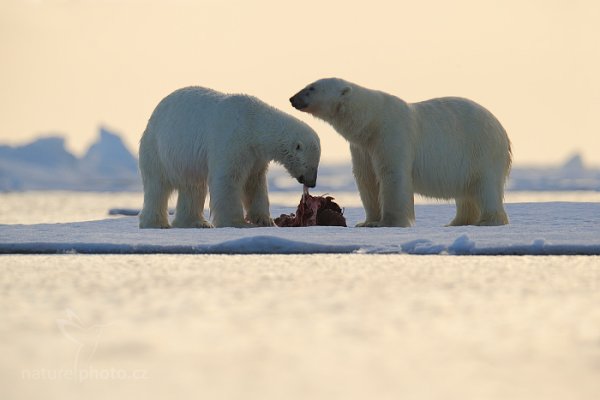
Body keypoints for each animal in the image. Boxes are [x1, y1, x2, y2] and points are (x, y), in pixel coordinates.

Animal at [139, 86, 322, 228]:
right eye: (312, 165)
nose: (312, 183)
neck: (254, 124)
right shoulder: (233, 141)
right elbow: (228, 179)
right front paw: (237, 222)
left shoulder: (255, 155)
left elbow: (255, 182)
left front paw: (265, 220)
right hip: (157, 149)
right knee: (157, 186)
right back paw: (156, 223)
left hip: (186, 160)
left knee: (193, 186)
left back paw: (196, 222)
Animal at [290, 78, 510, 228]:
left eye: (312, 87)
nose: (292, 98)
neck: (371, 121)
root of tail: (501, 129)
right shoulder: (362, 148)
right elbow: (367, 179)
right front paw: (367, 222)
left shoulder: (391, 134)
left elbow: (392, 175)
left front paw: (388, 222)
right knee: (466, 194)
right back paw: (457, 222)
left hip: (481, 149)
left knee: (486, 186)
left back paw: (488, 220)